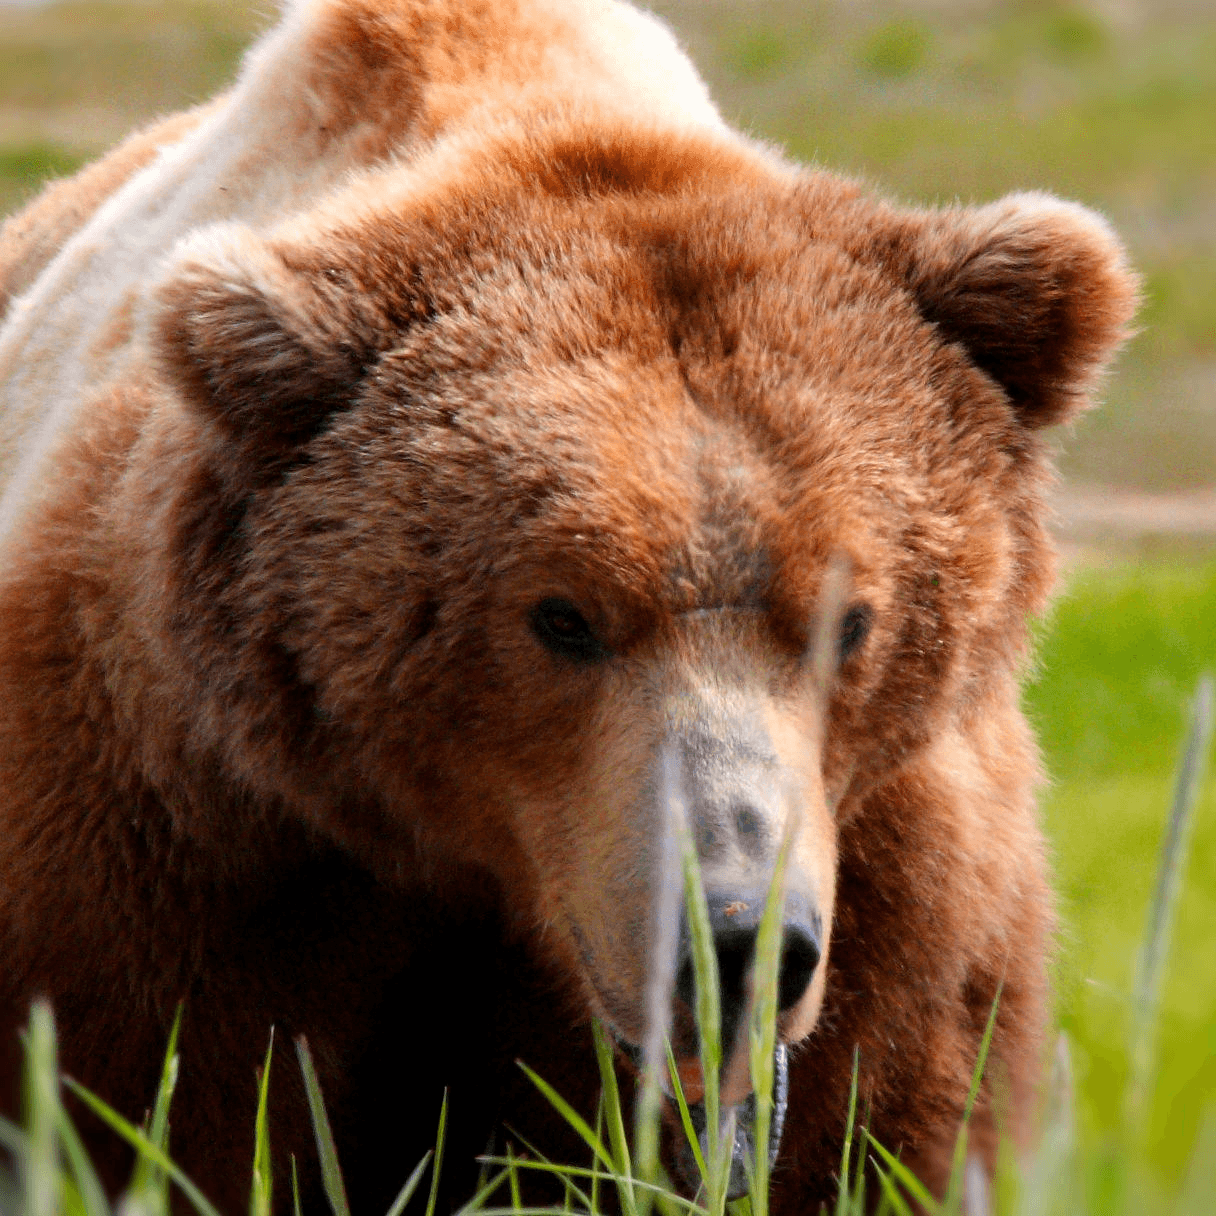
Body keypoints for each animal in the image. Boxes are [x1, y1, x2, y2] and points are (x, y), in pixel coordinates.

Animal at [0, 0, 1136, 1211]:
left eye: (848, 619)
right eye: (563, 615)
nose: (733, 939)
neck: (491, 866)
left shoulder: (898, 895)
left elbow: (877, 1130)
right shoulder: (186, 832)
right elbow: (161, 1112)